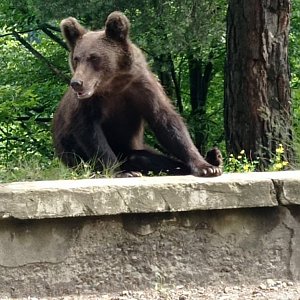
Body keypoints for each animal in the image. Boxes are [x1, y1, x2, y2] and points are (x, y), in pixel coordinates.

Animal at [52, 11, 223, 176]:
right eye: (76, 58)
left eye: (94, 57)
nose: (77, 83)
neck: (114, 83)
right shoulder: (90, 102)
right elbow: (90, 133)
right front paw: (121, 172)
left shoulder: (141, 88)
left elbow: (167, 123)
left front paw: (206, 167)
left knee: (146, 157)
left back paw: (214, 157)